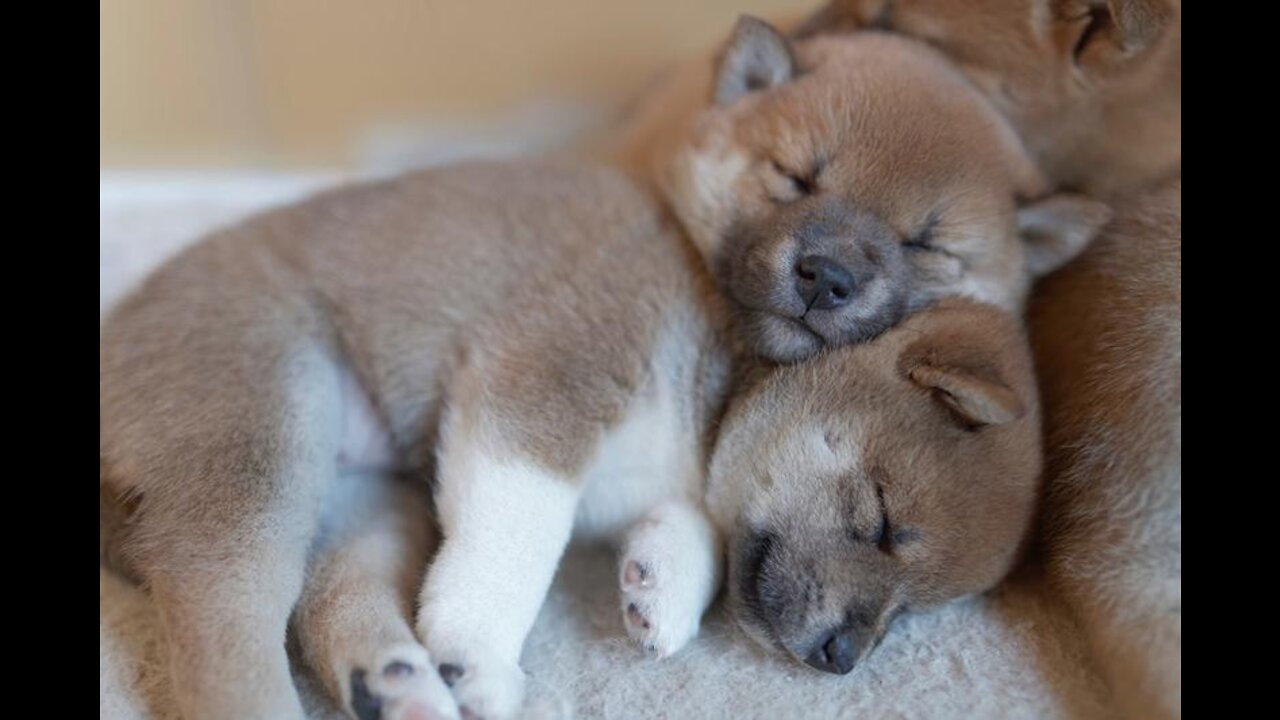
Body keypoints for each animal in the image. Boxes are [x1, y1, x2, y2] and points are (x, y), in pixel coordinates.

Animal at [99, 18, 1100, 717]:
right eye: (882, 522)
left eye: (926, 603)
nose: (839, 660)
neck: (725, 357)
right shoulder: (543, 382)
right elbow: (517, 539)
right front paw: (478, 651)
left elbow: (688, 530)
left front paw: (661, 586)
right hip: (264, 436)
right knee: (222, 628)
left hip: (366, 497)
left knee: (324, 603)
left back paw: (399, 684)